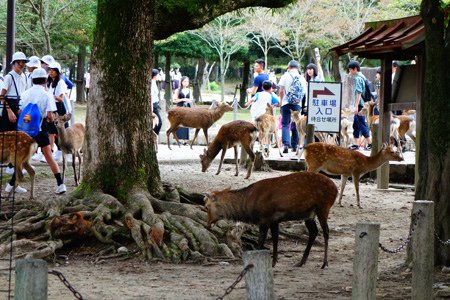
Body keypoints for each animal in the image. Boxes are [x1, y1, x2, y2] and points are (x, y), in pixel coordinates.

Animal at [204, 172, 338, 268]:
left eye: (206, 206)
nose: (207, 224)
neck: (250, 205)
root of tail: (335, 189)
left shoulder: (265, 217)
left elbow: (261, 240)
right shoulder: (274, 220)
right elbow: (275, 239)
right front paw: (274, 262)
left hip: (323, 207)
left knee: (326, 232)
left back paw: (324, 263)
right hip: (309, 214)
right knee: (314, 231)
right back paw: (301, 262)